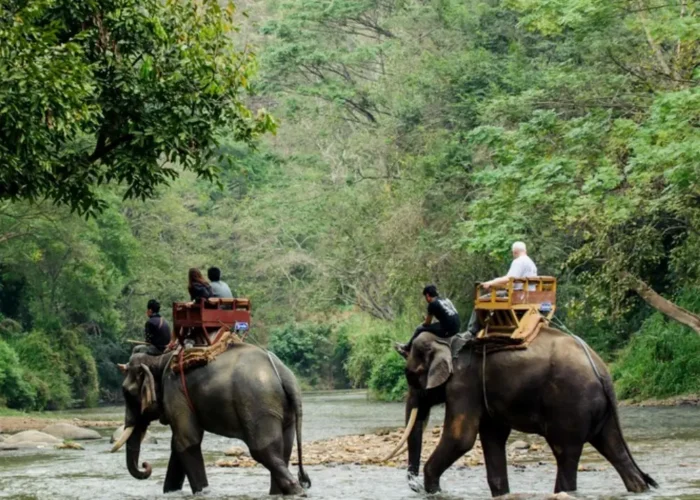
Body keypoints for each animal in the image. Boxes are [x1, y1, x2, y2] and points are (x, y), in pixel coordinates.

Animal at [111, 344, 311, 495]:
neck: (160, 358)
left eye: (126, 393)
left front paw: (202, 492)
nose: (145, 465)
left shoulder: (175, 393)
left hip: (259, 405)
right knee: (283, 450)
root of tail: (284, 374)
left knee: (263, 451)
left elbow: (186, 441)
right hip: (283, 410)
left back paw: (298, 491)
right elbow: (178, 445)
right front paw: (171, 492)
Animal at [388, 328, 657, 496]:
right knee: (614, 449)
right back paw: (639, 488)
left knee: (565, 453)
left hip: (570, 405)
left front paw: (434, 490)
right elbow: (492, 436)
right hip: (602, 412)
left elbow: (460, 438)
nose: (415, 486)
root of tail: (603, 372)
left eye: (410, 376)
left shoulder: (463, 385)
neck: (447, 339)